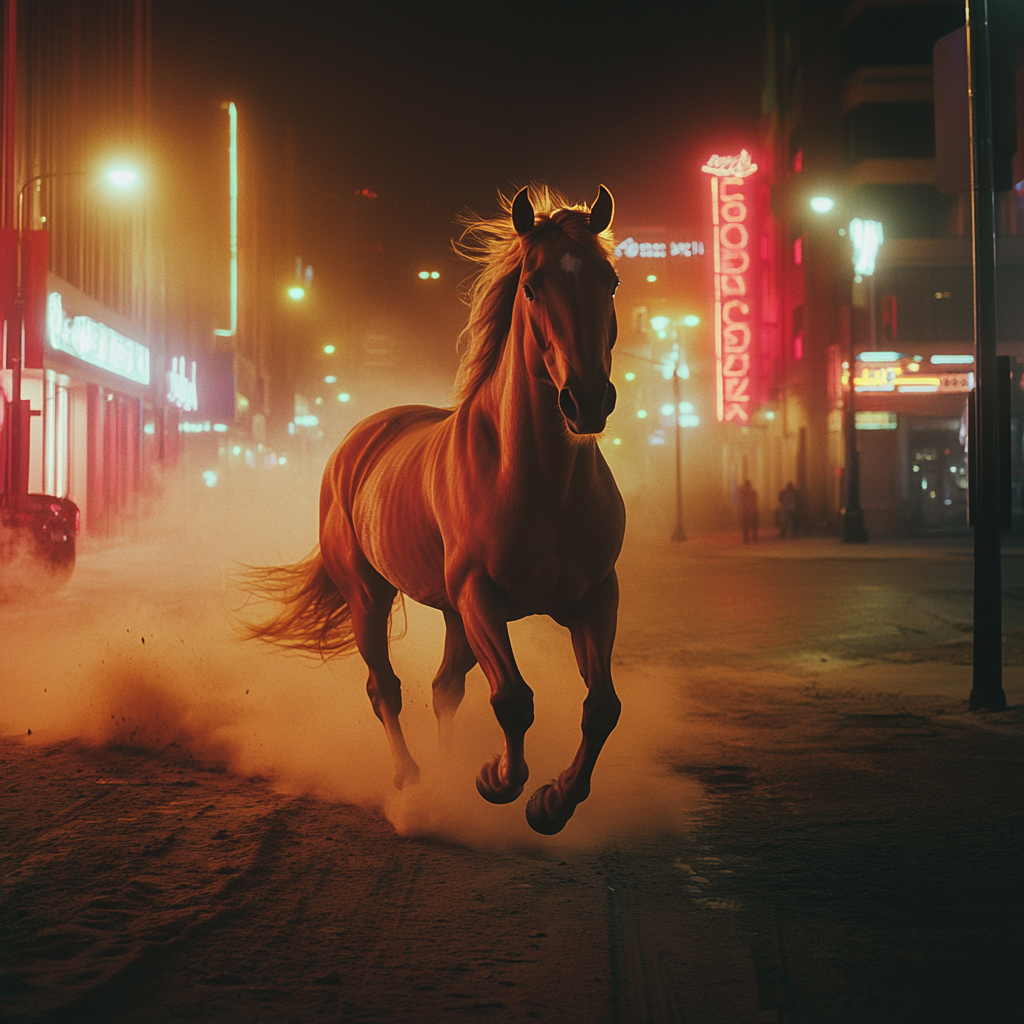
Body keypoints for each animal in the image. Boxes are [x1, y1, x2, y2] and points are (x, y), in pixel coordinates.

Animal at [247, 188, 622, 835]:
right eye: (532, 286)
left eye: (612, 281)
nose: (587, 400)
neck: (541, 483)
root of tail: (362, 438)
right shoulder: (480, 595)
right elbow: (513, 699)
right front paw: (497, 779)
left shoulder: (594, 597)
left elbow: (601, 707)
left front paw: (551, 802)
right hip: (370, 595)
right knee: (386, 688)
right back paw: (414, 782)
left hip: (451, 612)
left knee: (445, 687)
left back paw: (445, 776)